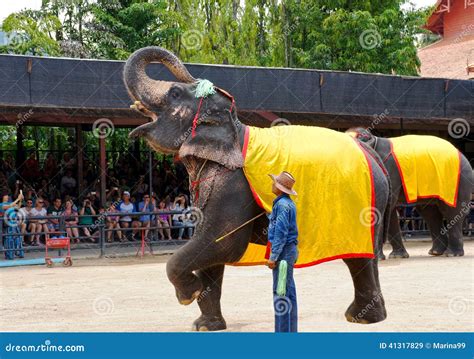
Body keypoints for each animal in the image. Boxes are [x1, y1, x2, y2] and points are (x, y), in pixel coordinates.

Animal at [124, 46, 390, 334]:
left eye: (174, 93)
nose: (196, 78)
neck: (233, 125)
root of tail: (371, 155)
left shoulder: (233, 184)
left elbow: (223, 242)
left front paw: (188, 294)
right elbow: (211, 250)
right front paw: (205, 325)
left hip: (362, 208)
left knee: (358, 259)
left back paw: (362, 318)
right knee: (366, 258)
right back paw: (368, 316)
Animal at [346, 128, 472, 260]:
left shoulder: (390, 170)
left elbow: (383, 209)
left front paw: (379, 258)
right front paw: (397, 256)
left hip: (457, 181)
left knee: (451, 212)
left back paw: (452, 253)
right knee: (430, 214)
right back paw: (435, 252)